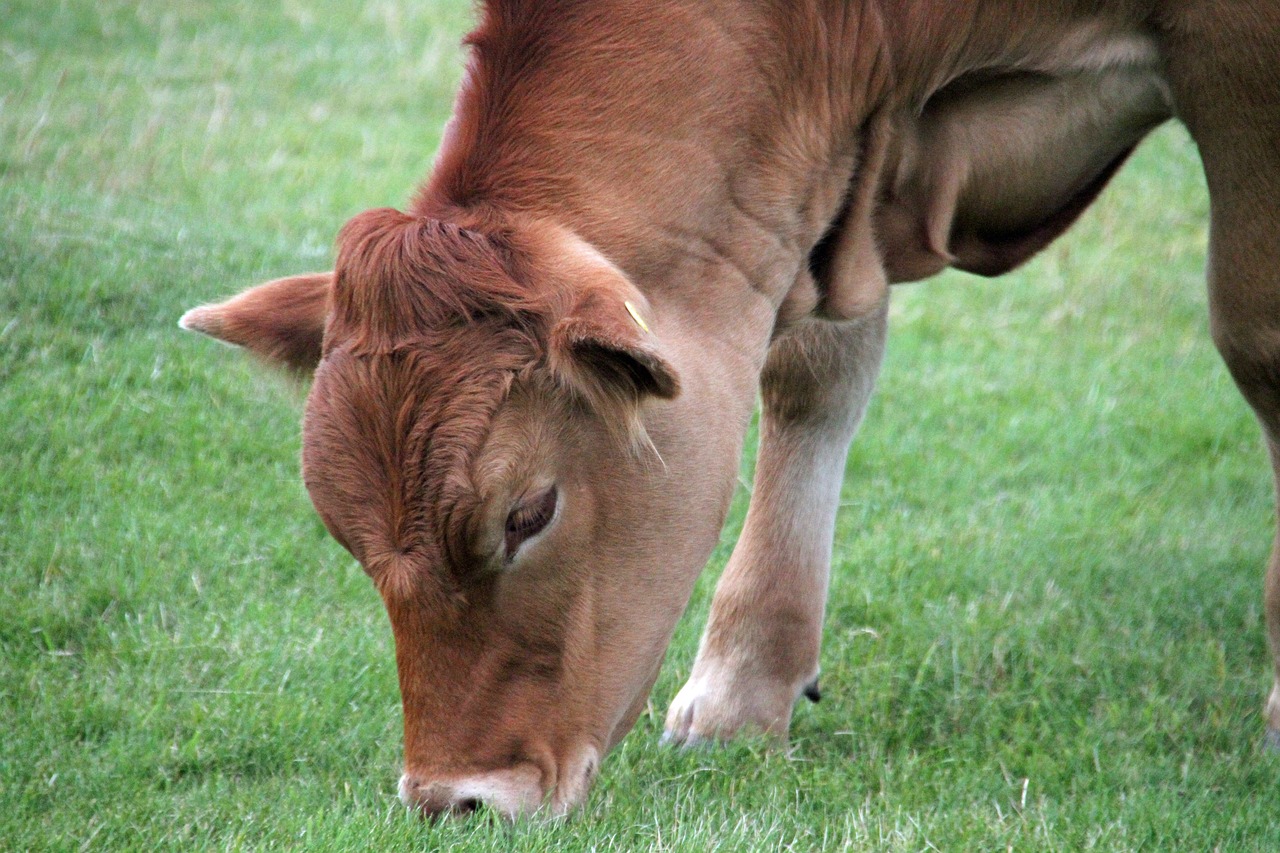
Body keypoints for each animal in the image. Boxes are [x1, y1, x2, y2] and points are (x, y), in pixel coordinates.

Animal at [180, 3, 1280, 819]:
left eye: (529, 513)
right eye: (346, 538)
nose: (454, 798)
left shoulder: (1236, 62)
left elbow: (1256, 336)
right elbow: (816, 370)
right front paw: (748, 689)